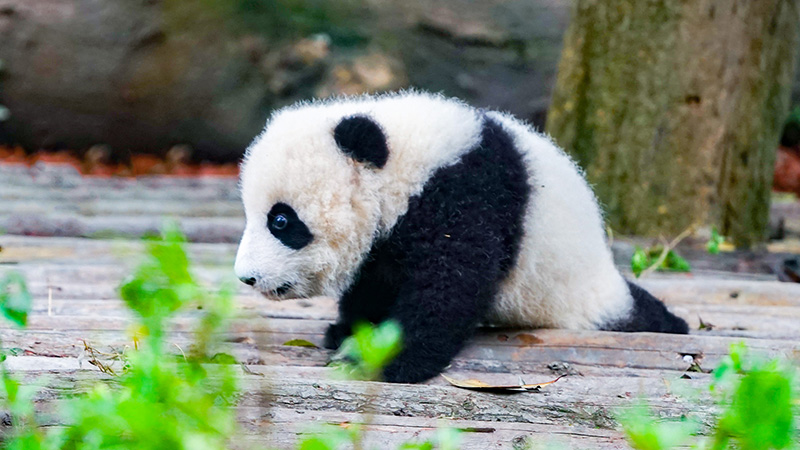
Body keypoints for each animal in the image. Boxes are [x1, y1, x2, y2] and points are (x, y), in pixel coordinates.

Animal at [234, 90, 689, 383]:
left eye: (280, 221)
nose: (247, 277)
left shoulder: (468, 196)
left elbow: (448, 287)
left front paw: (382, 360)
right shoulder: (391, 234)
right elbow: (376, 279)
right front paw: (348, 332)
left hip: (574, 291)